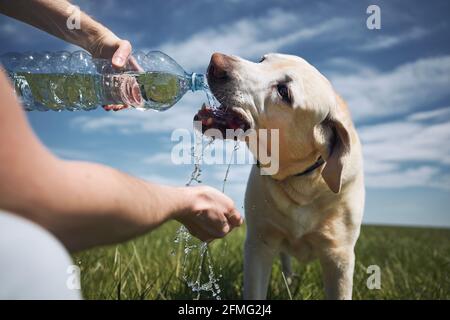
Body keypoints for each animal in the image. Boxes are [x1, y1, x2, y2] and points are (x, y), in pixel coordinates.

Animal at [195, 52, 364, 300]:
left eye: (284, 92)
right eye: (262, 59)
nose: (215, 61)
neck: (303, 183)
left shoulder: (339, 256)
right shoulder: (259, 244)